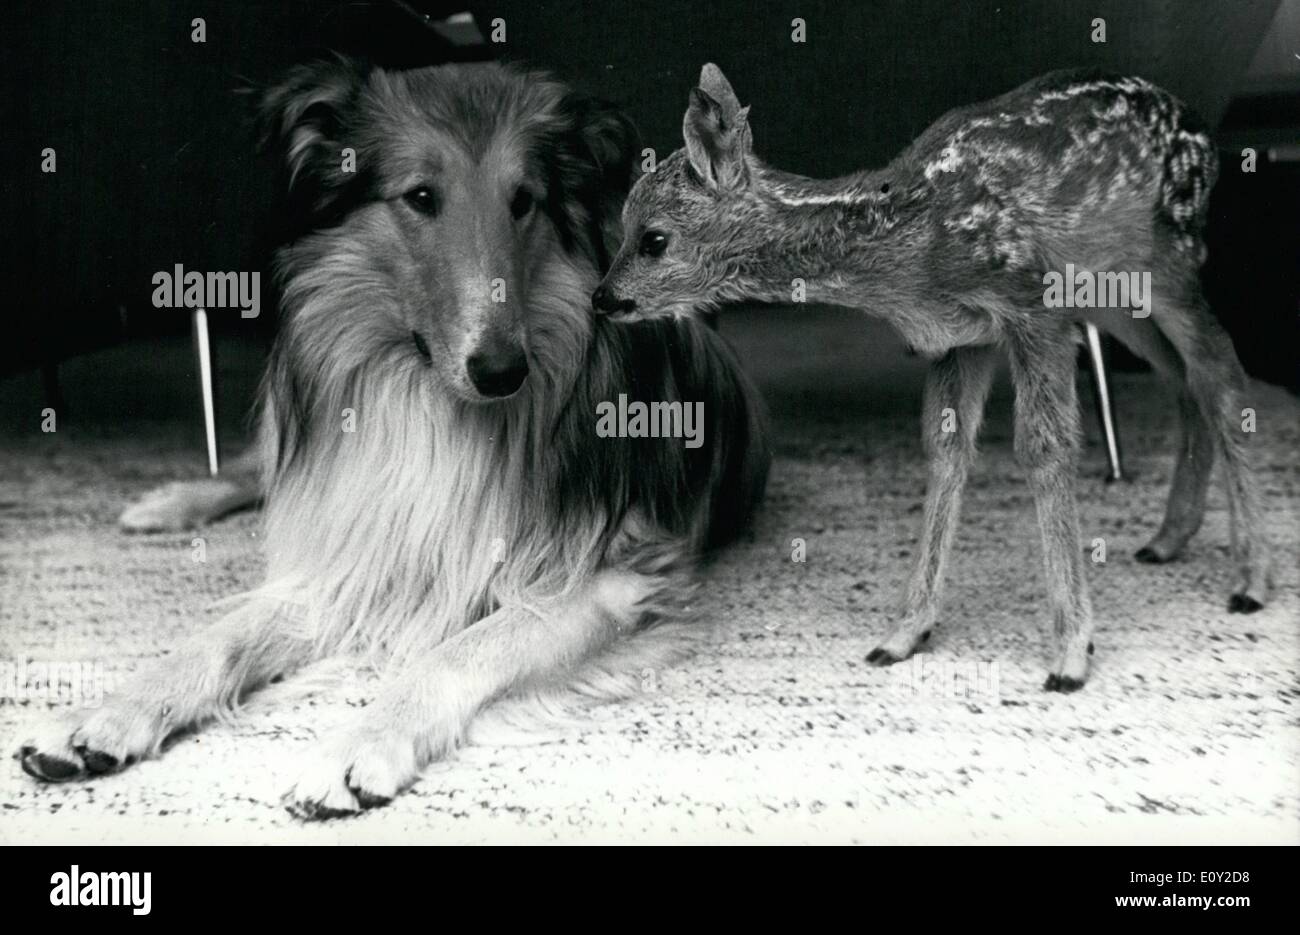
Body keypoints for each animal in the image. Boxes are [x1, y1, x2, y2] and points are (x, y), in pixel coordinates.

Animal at [17, 60, 769, 821]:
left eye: (523, 200)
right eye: (420, 197)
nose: (502, 372)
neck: (432, 407)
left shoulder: (608, 578)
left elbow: (459, 650)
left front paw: (359, 744)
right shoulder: (358, 546)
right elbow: (221, 637)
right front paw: (106, 711)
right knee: (261, 466)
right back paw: (166, 502)